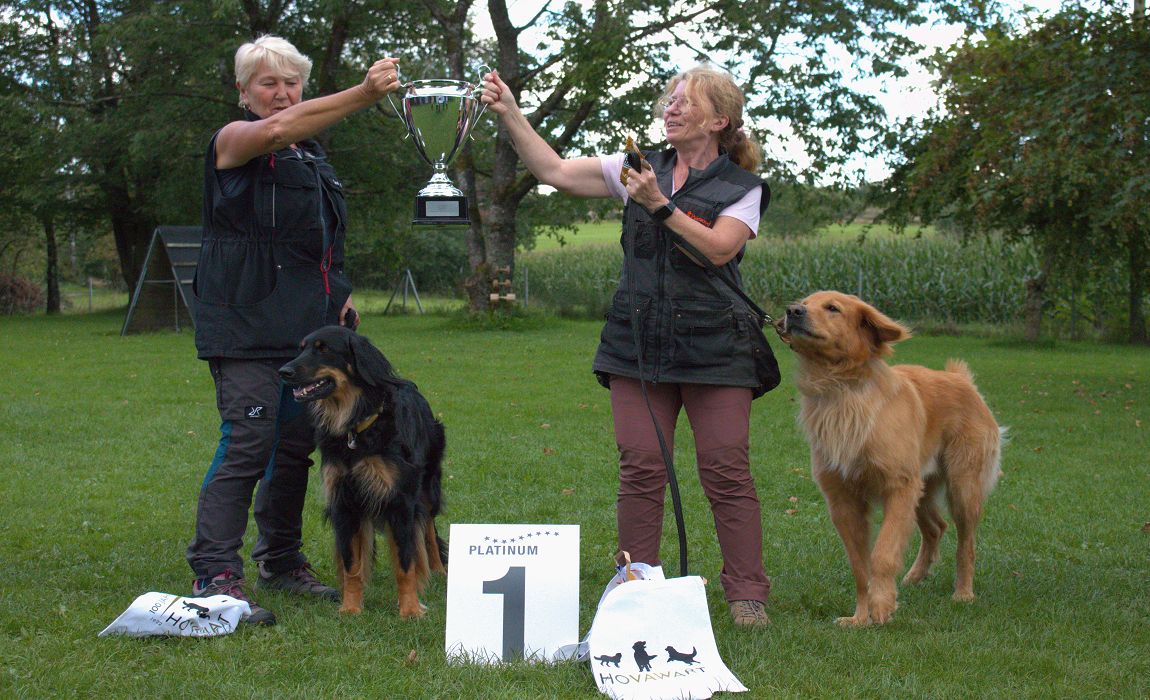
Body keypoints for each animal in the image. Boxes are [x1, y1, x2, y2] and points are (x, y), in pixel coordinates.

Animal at [278, 324, 448, 616]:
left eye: (323, 349)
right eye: (301, 348)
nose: (284, 372)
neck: (355, 428)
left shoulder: (401, 500)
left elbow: (405, 562)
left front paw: (410, 610)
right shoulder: (344, 501)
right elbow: (351, 565)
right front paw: (350, 608)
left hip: (427, 486)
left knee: (427, 527)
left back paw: (437, 569)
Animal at [777, 289, 1002, 620]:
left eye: (832, 308)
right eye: (804, 302)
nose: (792, 311)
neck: (841, 390)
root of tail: (962, 380)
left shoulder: (898, 486)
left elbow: (882, 553)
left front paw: (881, 606)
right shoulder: (843, 500)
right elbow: (860, 565)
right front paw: (860, 617)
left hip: (961, 487)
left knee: (966, 543)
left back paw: (963, 593)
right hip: (921, 489)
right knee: (936, 528)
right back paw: (915, 576)